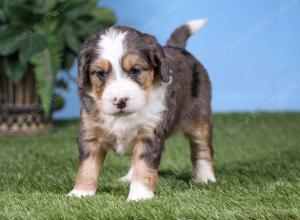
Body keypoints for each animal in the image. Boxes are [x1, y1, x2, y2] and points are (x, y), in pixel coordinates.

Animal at [69, 18, 217, 201]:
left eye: (135, 70)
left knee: (202, 148)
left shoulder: (149, 134)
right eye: (100, 73)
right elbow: (87, 166)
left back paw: (206, 178)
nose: (120, 101)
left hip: (199, 117)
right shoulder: (91, 134)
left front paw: (139, 196)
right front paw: (80, 193)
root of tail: (178, 48)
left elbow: (144, 166)